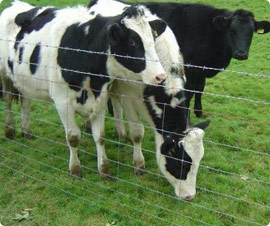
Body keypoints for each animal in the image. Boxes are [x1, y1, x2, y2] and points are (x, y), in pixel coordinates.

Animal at [0, 1, 167, 178]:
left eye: (153, 39)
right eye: (133, 43)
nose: (160, 76)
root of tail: (16, 5)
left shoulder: (100, 99)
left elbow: (100, 137)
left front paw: (104, 169)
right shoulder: (62, 102)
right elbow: (73, 137)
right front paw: (75, 169)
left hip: (24, 79)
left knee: (26, 101)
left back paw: (26, 130)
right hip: (4, 74)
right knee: (8, 99)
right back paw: (10, 130)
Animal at [87, 0, 210, 201]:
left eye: (199, 161)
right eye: (181, 163)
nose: (190, 196)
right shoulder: (129, 94)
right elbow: (137, 133)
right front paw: (139, 164)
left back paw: (120, 132)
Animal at [88, 0, 270, 116]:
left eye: (251, 32)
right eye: (232, 31)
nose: (241, 53)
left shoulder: (201, 70)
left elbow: (200, 89)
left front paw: (199, 111)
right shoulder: (190, 69)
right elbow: (189, 94)